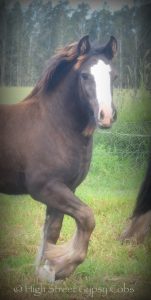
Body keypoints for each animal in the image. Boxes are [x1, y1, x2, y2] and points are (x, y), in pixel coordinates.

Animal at [0, 35, 117, 282]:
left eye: (113, 76)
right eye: (85, 75)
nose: (106, 116)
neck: (55, 126)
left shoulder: (66, 188)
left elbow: (53, 229)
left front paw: (46, 270)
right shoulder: (44, 187)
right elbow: (87, 217)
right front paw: (63, 265)